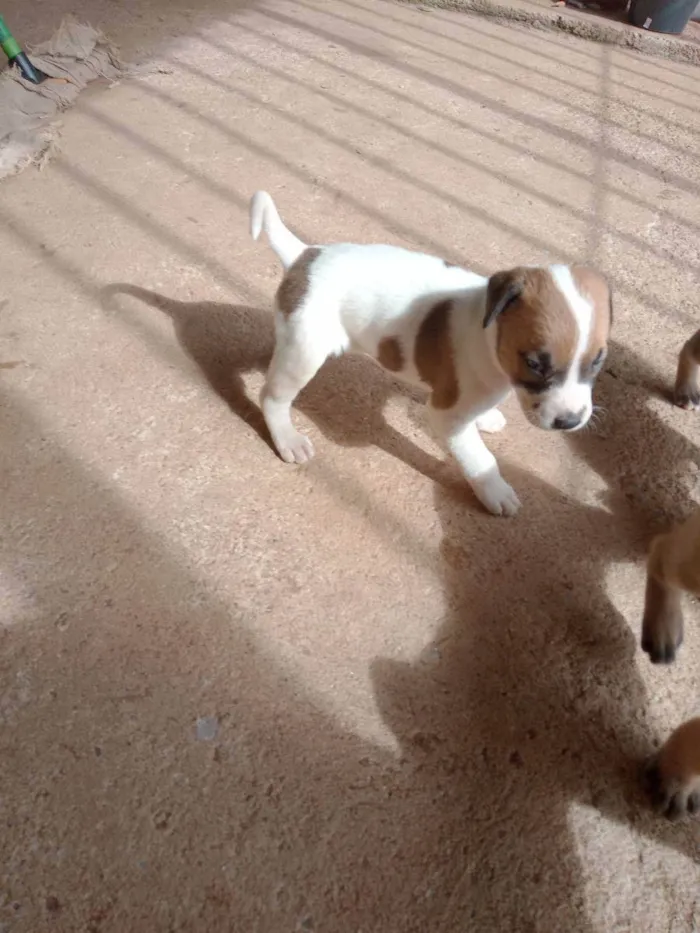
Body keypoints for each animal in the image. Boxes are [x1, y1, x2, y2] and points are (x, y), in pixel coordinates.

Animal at [249, 187, 608, 510]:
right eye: (534, 363)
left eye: (597, 361)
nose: (569, 421)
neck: (487, 331)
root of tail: (305, 255)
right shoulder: (446, 416)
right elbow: (480, 458)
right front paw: (496, 491)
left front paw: (486, 418)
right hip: (304, 354)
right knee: (272, 397)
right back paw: (288, 439)